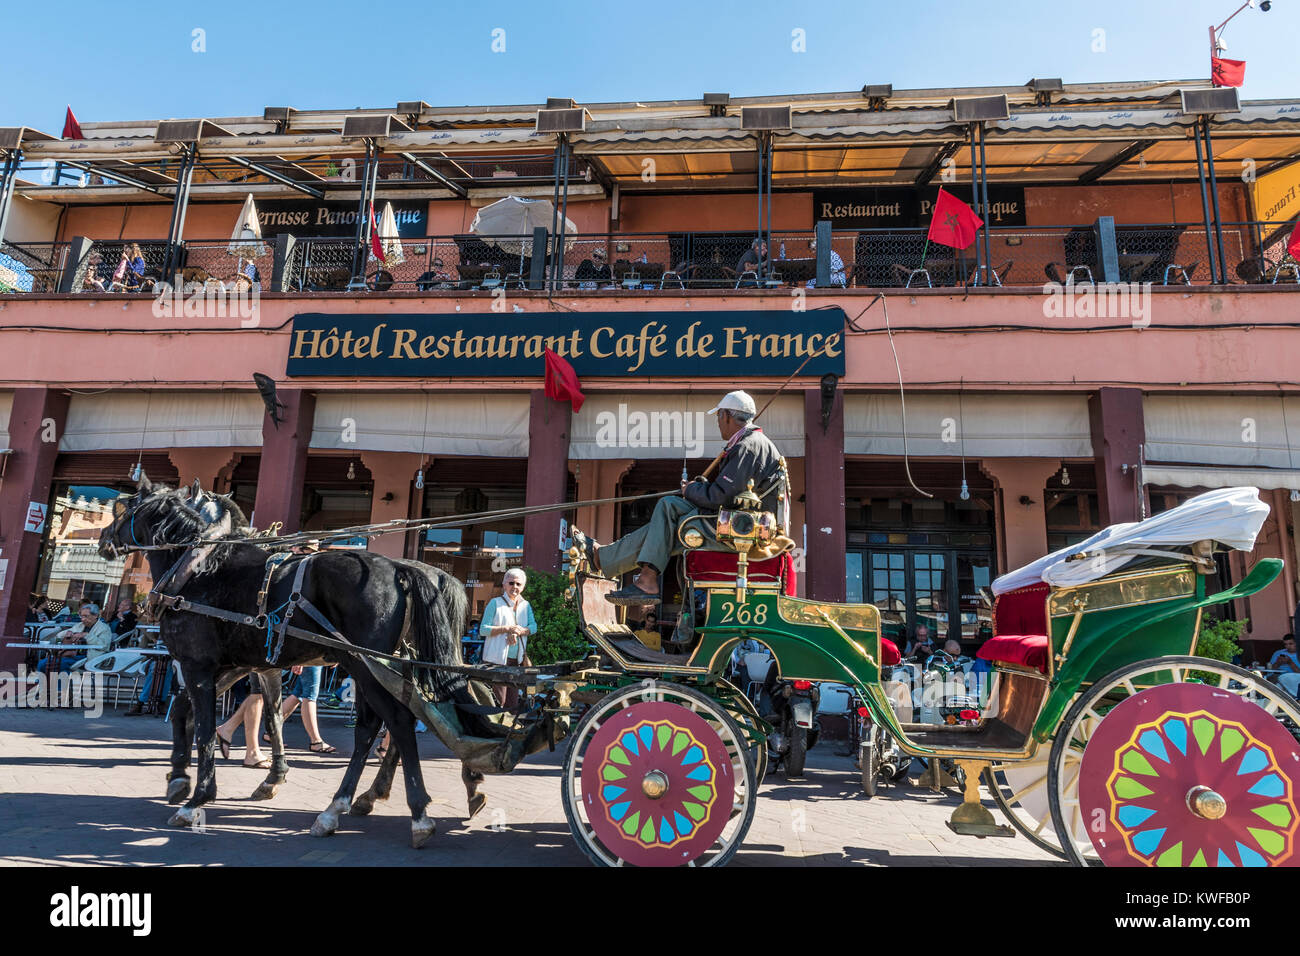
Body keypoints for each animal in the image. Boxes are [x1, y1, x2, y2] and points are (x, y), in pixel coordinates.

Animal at [98, 481, 478, 848]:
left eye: (123, 507)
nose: (103, 541)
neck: (198, 570)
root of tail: (401, 569)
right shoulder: (242, 665)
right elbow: (236, 713)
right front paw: (182, 778)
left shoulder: (198, 665)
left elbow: (205, 728)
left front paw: (197, 799)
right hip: (382, 667)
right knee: (378, 726)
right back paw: (349, 804)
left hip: (364, 664)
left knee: (396, 721)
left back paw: (413, 815)